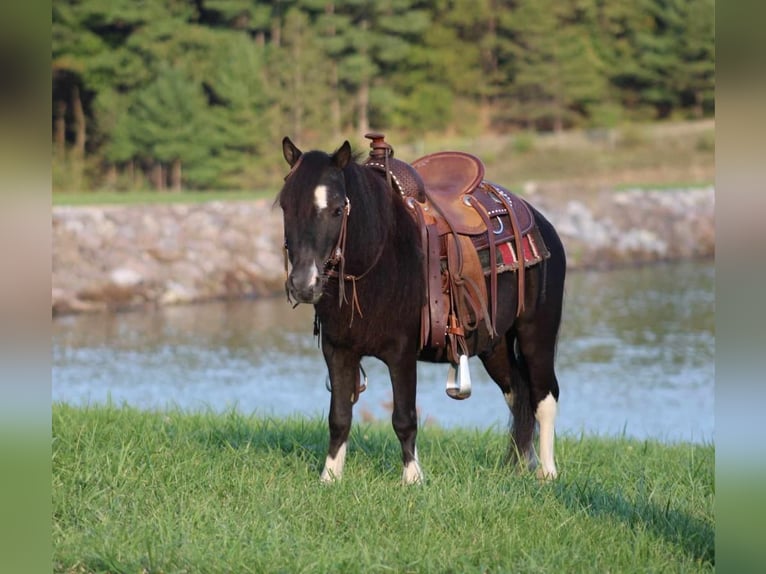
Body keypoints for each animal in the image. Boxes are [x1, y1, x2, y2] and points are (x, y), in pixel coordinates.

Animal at [276, 140, 564, 486]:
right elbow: (339, 417)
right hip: (494, 345)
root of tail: (541, 223)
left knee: (544, 396)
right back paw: (524, 464)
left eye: (336, 209)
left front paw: (412, 478)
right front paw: (330, 477)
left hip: (537, 332)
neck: (380, 256)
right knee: (518, 394)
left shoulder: (402, 352)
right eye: (285, 207)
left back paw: (547, 473)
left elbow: (404, 417)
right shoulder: (338, 350)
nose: (304, 284)